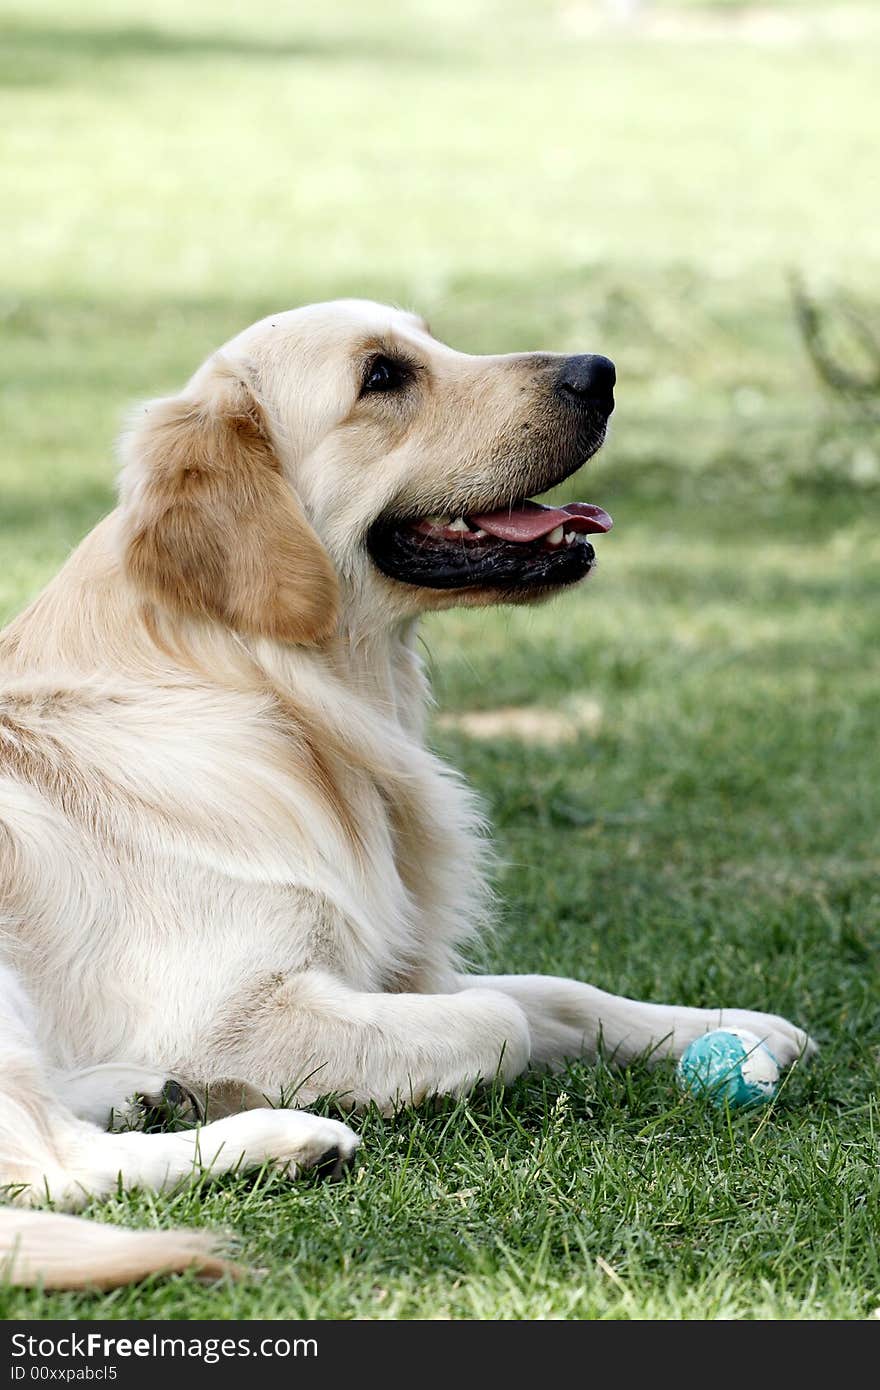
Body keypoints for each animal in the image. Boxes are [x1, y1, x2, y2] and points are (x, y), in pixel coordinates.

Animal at [0, 298, 811, 1284]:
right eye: (382, 376)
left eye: (429, 337)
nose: (601, 371)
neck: (277, 696)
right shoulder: (225, 1012)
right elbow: (500, 1018)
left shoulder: (393, 967)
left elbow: (558, 991)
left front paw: (732, 1025)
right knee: (50, 1169)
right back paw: (284, 1139)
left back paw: (143, 1093)